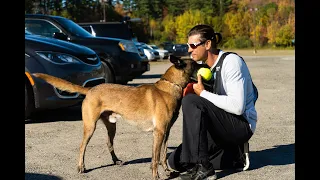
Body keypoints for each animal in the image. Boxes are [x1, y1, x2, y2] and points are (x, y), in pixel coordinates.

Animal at [33, 58, 198, 180]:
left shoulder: (165, 132)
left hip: (112, 126)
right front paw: (155, 174)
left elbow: (163, 155)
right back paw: (81, 167)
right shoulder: (159, 132)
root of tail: (91, 89)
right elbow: (156, 157)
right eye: (195, 64)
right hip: (90, 127)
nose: (204, 64)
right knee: (82, 146)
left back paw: (116, 160)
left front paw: (167, 171)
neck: (170, 87)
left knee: (109, 143)